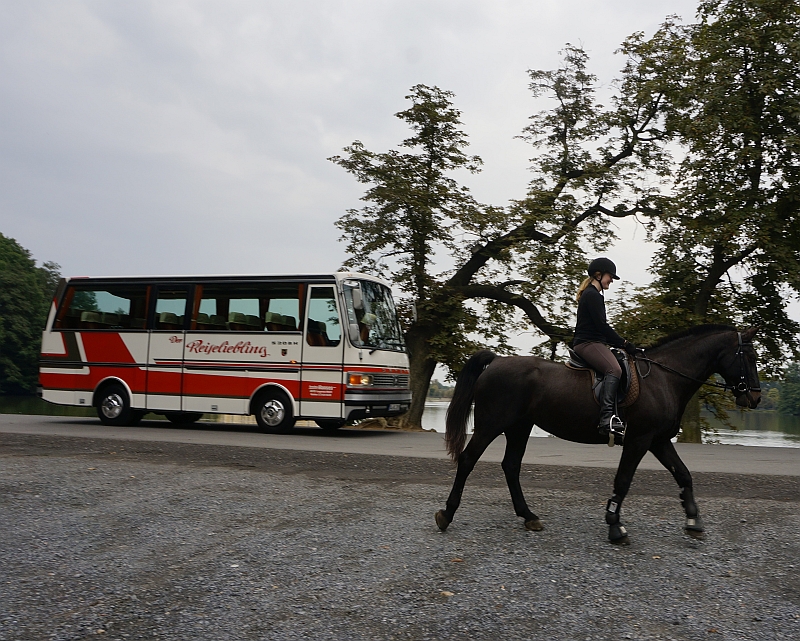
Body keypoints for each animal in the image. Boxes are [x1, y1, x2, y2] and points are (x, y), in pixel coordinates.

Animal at [438, 324, 764, 540]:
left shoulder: (658, 440)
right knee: (467, 461)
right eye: (749, 356)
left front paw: (694, 520)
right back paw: (446, 514)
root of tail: (497, 361)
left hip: (520, 427)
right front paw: (615, 525)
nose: (755, 397)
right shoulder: (639, 440)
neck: (664, 378)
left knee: (511, 466)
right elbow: (623, 481)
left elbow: (683, 475)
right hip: (491, 425)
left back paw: (529, 517)